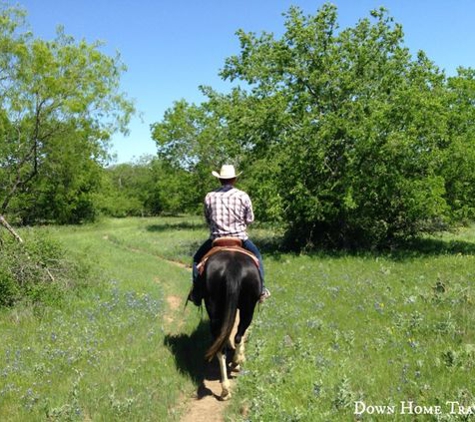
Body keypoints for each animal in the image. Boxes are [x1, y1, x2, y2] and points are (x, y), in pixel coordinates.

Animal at [201, 249, 260, 400]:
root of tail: (233, 267)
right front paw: (239, 358)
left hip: (214, 308)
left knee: (220, 346)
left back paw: (225, 389)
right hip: (248, 309)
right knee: (239, 334)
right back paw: (236, 362)